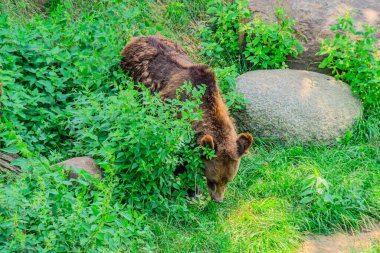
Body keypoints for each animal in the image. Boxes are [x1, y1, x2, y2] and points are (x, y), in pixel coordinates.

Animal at [121, 34, 252, 203]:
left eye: (228, 180)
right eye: (213, 180)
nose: (217, 200)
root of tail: (137, 37)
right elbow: (179, 162)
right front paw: (191, 191)